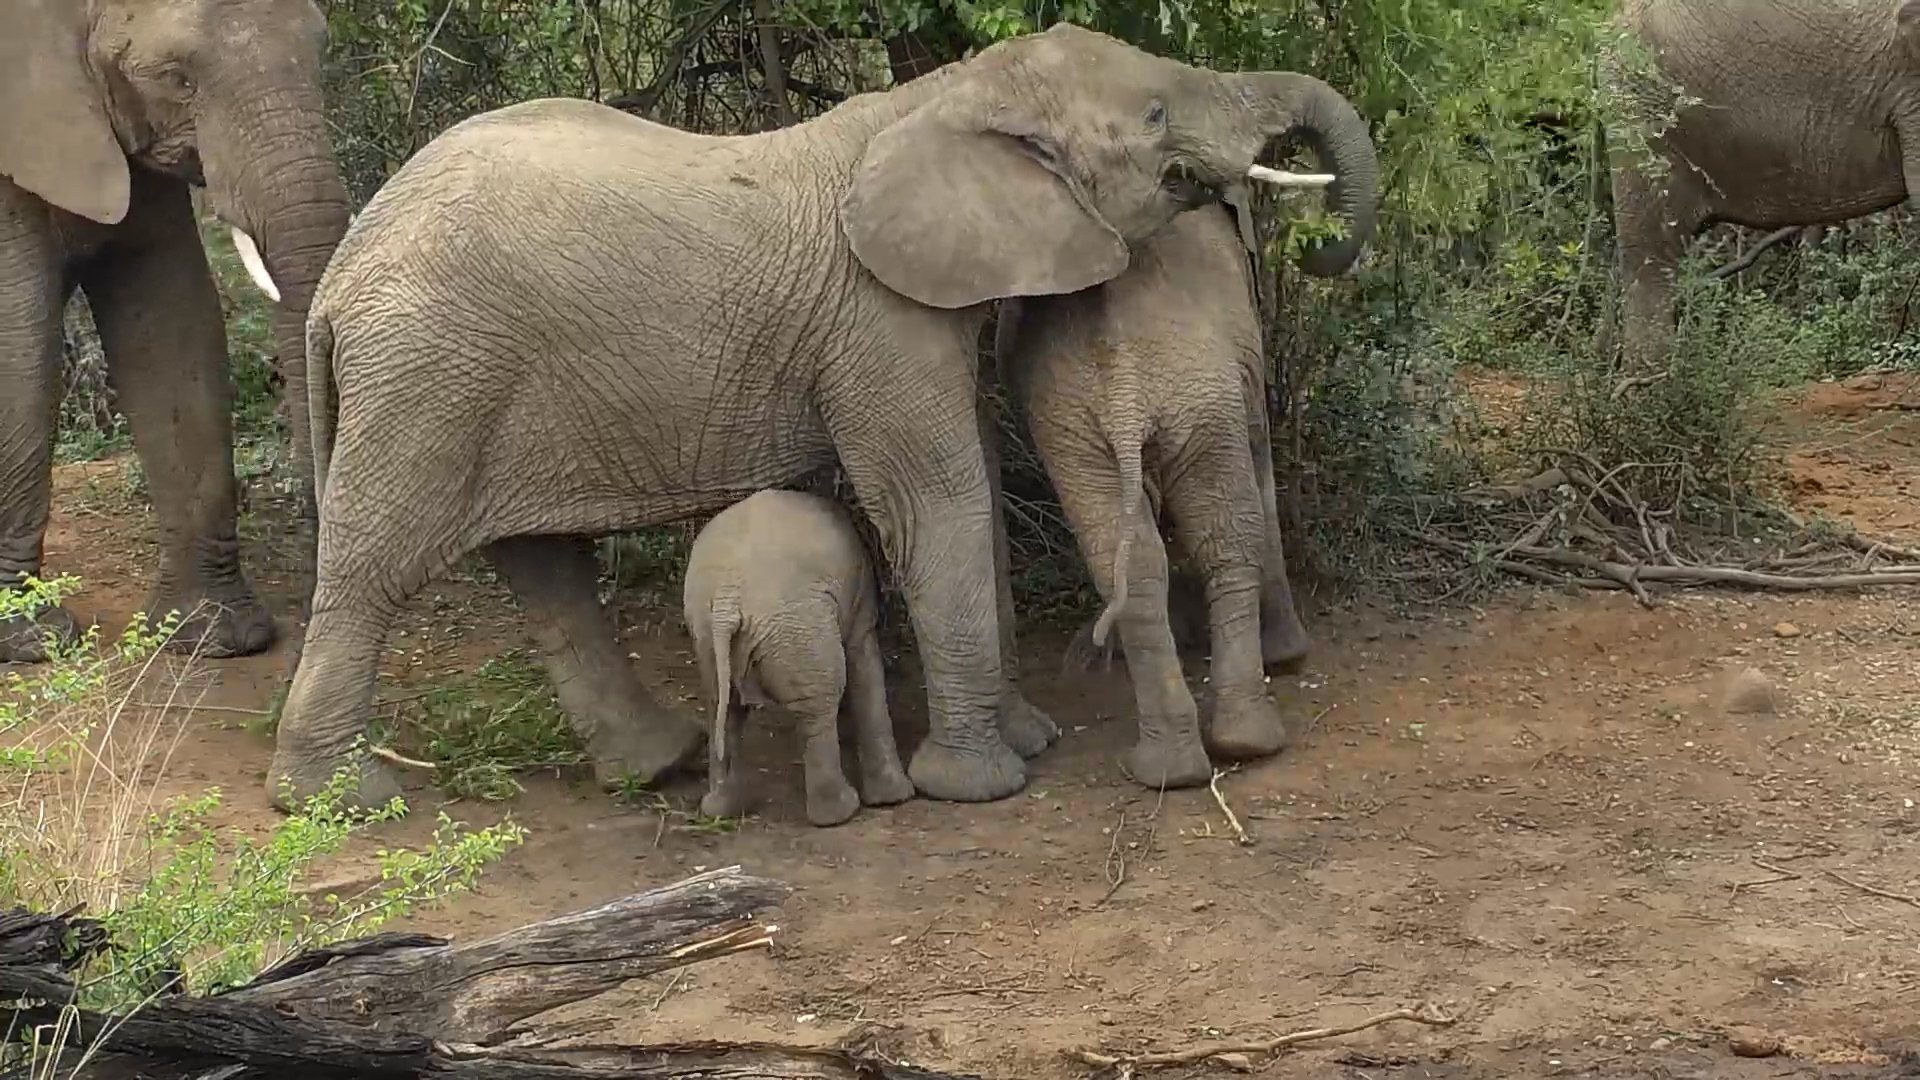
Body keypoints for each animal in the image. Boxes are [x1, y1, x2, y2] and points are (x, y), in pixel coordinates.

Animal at [0, 0, 352, 663]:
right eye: (175, 78)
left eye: (320, 47)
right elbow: (19, 349)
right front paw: (29, 640)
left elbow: (173, 327)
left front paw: (217, 636)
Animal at [683, 488, 915, 827]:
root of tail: (728, 597)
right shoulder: (861, 595)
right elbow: (862, 658)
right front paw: (895, 799)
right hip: (795, 624)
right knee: (817, 706)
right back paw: (840, 813)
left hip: (705, 630)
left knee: (721, 706)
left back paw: (720, 811)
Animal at [995, 198, 1339, 779]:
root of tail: (1125, 390)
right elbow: (1260, 457)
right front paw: (1289, 658)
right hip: (1201, 401)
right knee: (1228, 541)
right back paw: (1248, 742)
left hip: (1078, 430)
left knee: (1129, 561)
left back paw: (1167, 767)